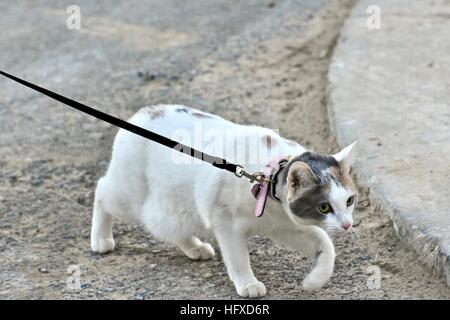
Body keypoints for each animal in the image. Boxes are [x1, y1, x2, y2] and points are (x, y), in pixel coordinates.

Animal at [91, 105, 356, 298]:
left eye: (350, 201)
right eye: (324, 206)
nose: (347, 224)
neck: (266, 180)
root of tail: (142, 112)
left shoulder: (285, 226)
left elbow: (325, 245)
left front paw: (315, 280)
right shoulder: (226, 223)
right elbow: (238, 257)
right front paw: (248, 283)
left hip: (176, 207)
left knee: (169, 227)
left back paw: (195, 248)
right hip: (128, 195)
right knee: (102, 191)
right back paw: (101, 239)